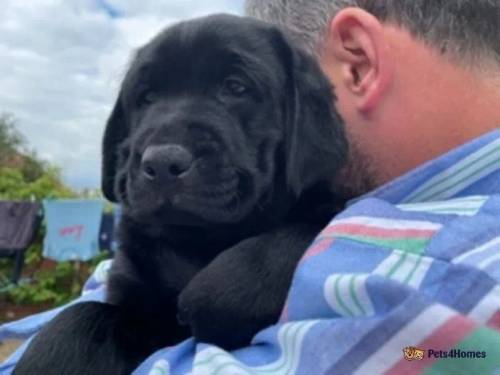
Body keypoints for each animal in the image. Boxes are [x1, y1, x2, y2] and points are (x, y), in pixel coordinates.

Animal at [13, 13, 346, 374]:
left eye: (235, 87)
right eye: (146, 98)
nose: (161, 162)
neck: (195, 243)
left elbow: (302, 231)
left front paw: (217, 293)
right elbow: (77, 318)